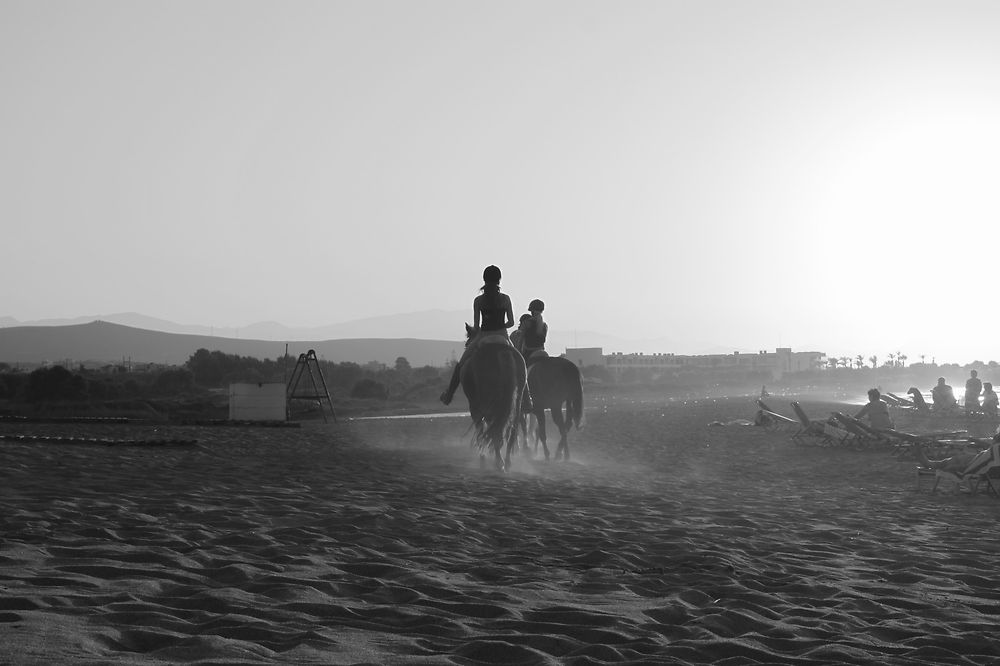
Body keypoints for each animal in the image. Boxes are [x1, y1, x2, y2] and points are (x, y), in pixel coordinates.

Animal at [458, 322, 528, 470]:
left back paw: (498, 460)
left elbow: (481, 426)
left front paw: (482, 454)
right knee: (511, 427)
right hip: (516, 400)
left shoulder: (475, 405)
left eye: (467, 342)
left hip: (488, 401)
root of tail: (502, 350)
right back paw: (506, 460)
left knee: (495, 426)